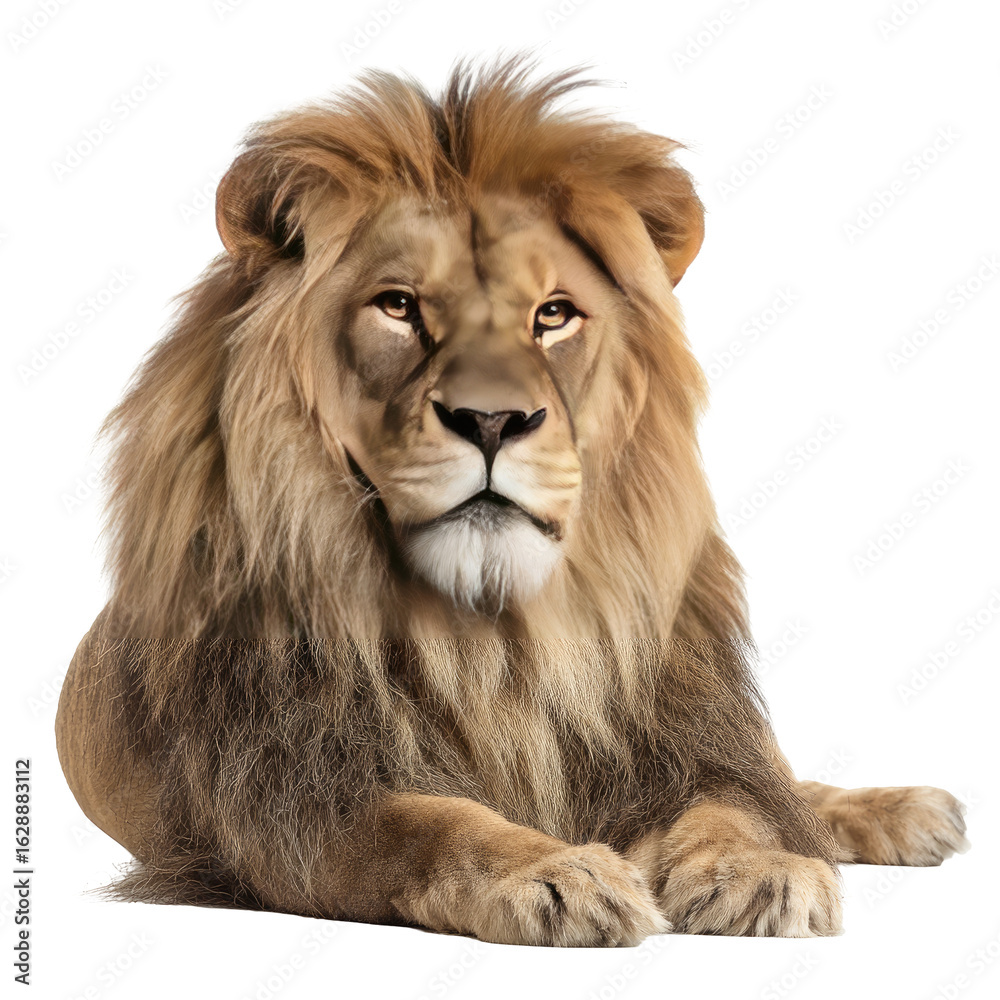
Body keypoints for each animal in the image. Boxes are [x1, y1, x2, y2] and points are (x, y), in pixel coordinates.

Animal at [55, 58, 968, 946]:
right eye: (398, 306)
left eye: (553, 315)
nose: (492, 420)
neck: (493, 636)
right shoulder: (291, 797)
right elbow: (430, 823)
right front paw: (557, 875)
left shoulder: (679, 743)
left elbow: (734, 807)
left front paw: (762, 871)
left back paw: (911, 810)